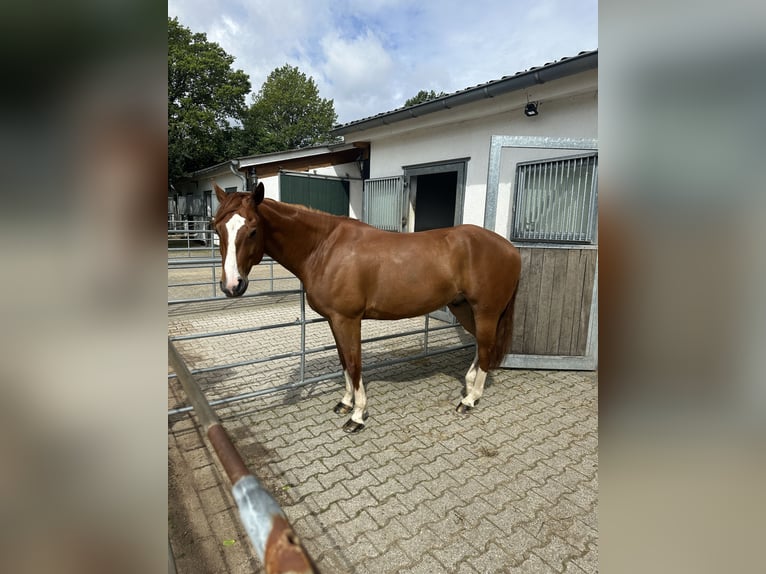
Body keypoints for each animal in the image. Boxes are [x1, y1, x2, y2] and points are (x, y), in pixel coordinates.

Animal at [212, 182, 521, 433]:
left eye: (253, 230)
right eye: (218, 228)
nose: (232, 285)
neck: (324, 248)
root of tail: (510, 249)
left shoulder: (347, 319)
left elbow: (353, 363)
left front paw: (357, 416)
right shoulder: (334, 320)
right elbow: (343, 362)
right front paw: (345, 403)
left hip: (485, 311)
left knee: (486, 347)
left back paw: (470, 400)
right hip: (464, 308)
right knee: (481, 345)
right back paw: (468, 387)